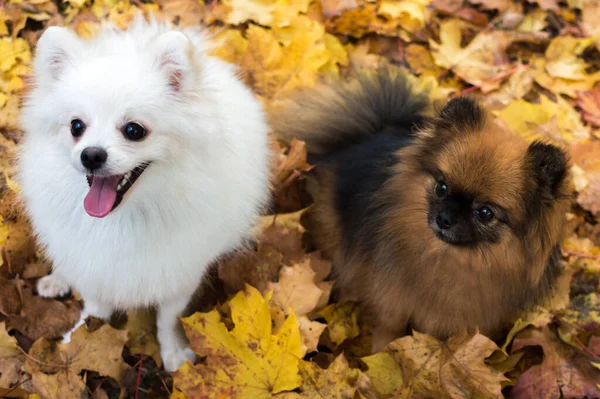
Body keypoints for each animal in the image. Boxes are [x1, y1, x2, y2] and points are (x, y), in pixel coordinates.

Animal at [16, 15, 270, 372]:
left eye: (134, 130)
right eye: (76, 126)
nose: (91, 155)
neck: (126, 215)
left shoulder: (179, 271)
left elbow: (168, 317)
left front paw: (174, 352)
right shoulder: (94, 268)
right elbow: (94, 311)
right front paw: (78, 341)